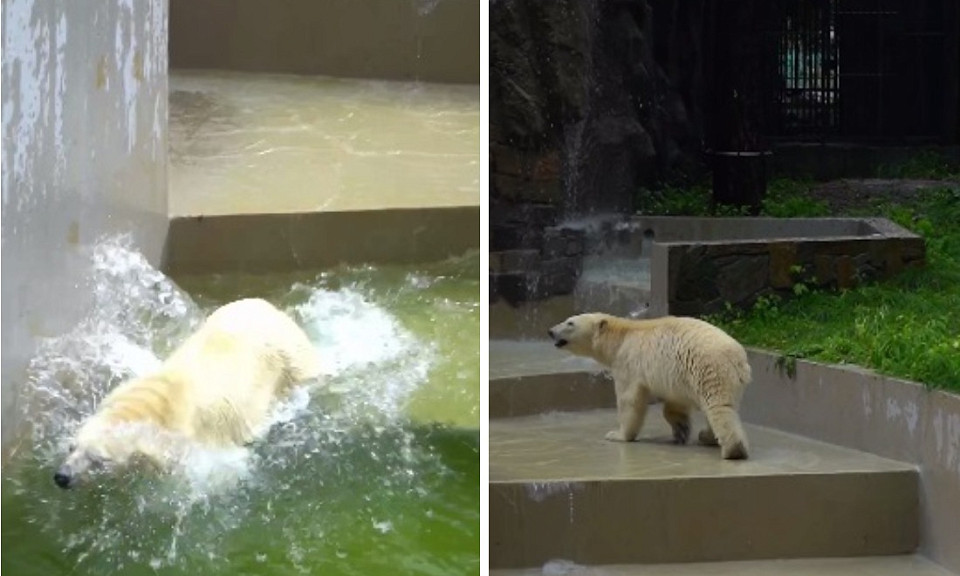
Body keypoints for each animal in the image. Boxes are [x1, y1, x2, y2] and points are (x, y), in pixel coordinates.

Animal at [548, 312, 752, 462]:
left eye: (570, 323)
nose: (550, 331)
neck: (621, 336)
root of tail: (739, 359)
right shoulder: (677, 375)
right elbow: (675, 402)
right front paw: (681, 429)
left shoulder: (627, 362)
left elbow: (629, 400)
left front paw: (617, 434)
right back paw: (706, 436)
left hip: (709, 369)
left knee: (719, 407)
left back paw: (733, 450)